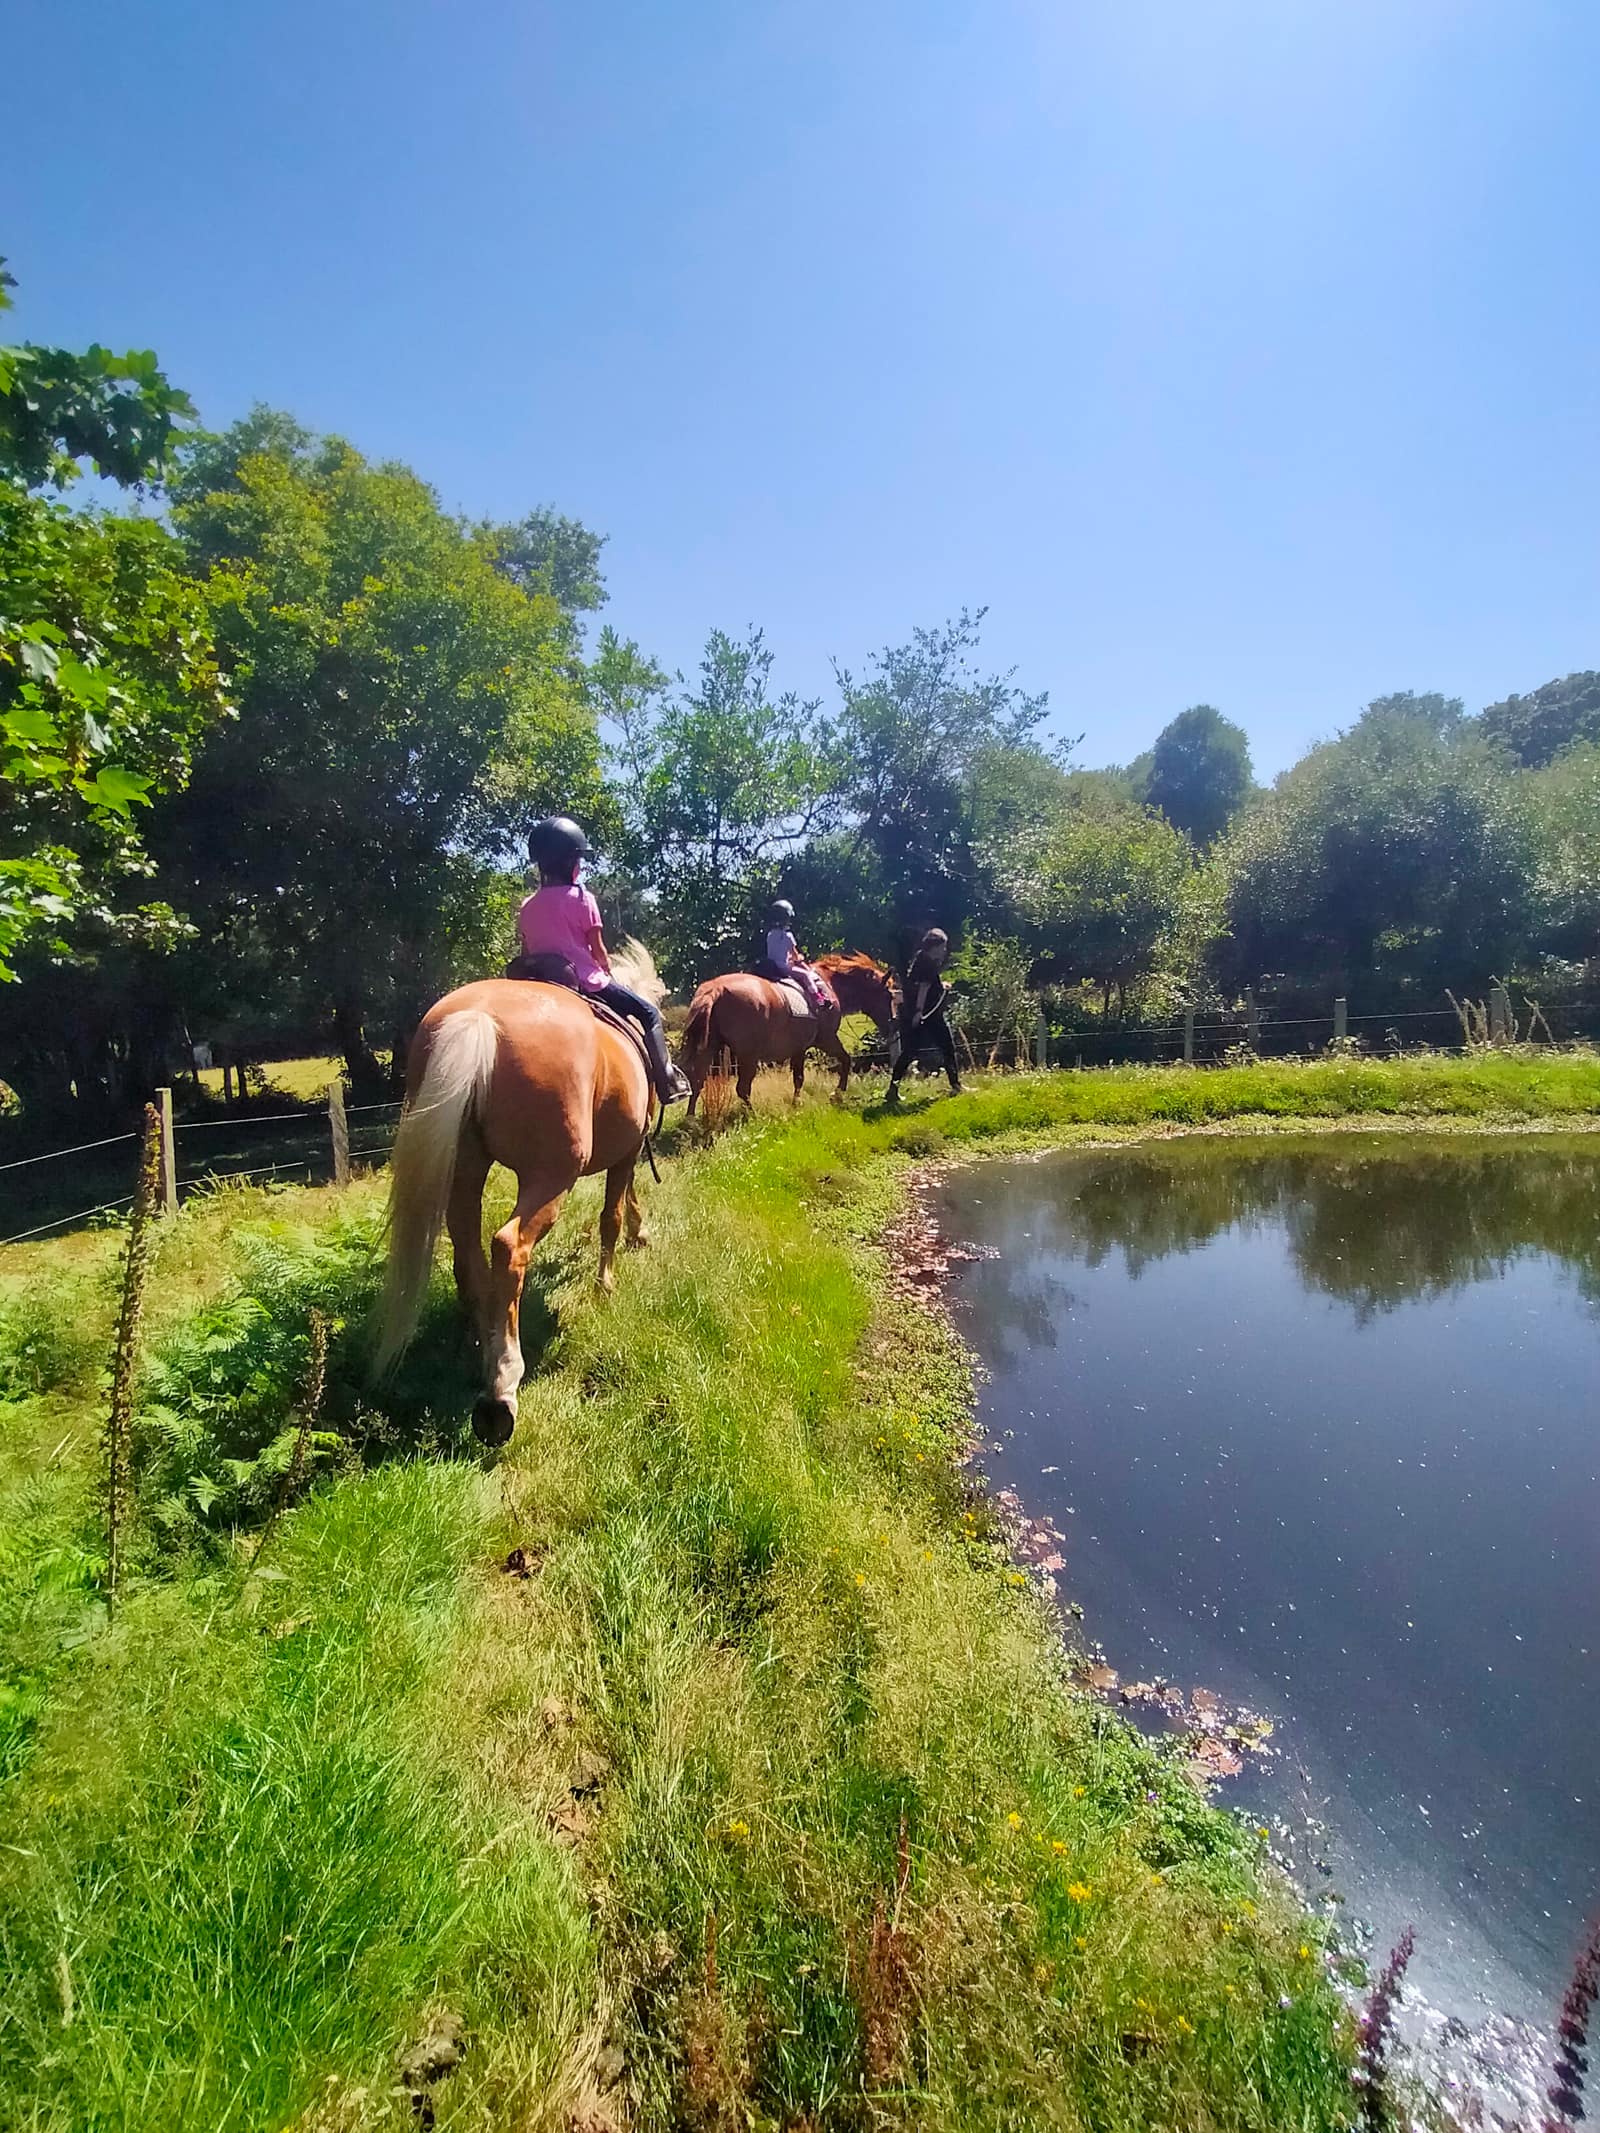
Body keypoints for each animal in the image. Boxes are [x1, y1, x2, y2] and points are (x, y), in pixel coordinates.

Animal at [374, 973, 654, 1448]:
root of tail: (478, 1017)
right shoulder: (628, 1150)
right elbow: (611, 1218)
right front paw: (607, 1283)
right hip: (549, 1177)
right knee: (509, 1248)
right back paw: (501, 1388)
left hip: (466, 1167)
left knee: (468, 1255)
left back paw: (481, 1350)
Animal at [678, 951, 898, 1111]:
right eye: (888, 995)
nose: (892, 1025)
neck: (828, 983)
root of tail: (715, 989)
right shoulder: (826, 1039)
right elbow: (846, 1060)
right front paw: (837, 1094)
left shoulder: (799, 1048)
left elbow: (799, 1078)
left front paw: (796, 1104)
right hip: (748, 1055)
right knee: (742, 1089)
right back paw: (753, 1115)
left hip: (709, 1048)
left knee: (697, 1082)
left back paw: (690, 1121)